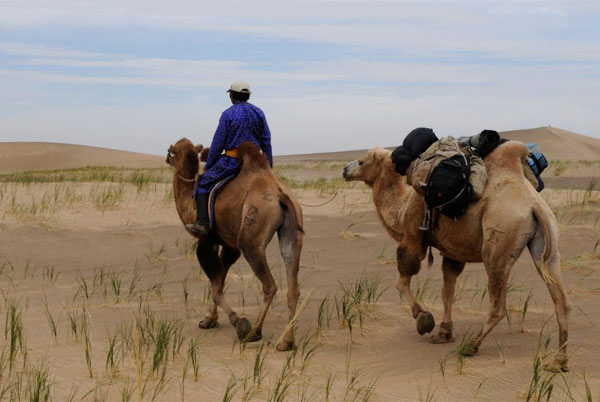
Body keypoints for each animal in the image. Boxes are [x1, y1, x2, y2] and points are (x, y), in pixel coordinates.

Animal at [165, 138, 302, 352]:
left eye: (172, 151)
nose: (166, 159)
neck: (189, 202)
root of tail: (280, 194)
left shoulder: (207, 242)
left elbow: (216, 287)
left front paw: (237, 320)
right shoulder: (230, 246)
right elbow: (219, 280)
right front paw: (209, 320)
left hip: (251, 238)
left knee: (269, 285)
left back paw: (253, 333)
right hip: (292, 230)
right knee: (292, 284)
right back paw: (286, 342)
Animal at [342, 142, 572, 374]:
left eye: (361, 161)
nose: (344, 170)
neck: (402, 206)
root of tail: (533, 204)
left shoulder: (413, 236)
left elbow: (402, 280)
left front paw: (423, 317)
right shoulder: (451, 251)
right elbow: (448, 290)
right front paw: (444, 332)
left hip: (498, 242)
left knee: (498, 304)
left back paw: (470, 346)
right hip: (549, 244)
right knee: (561, 300)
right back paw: (558, 361)